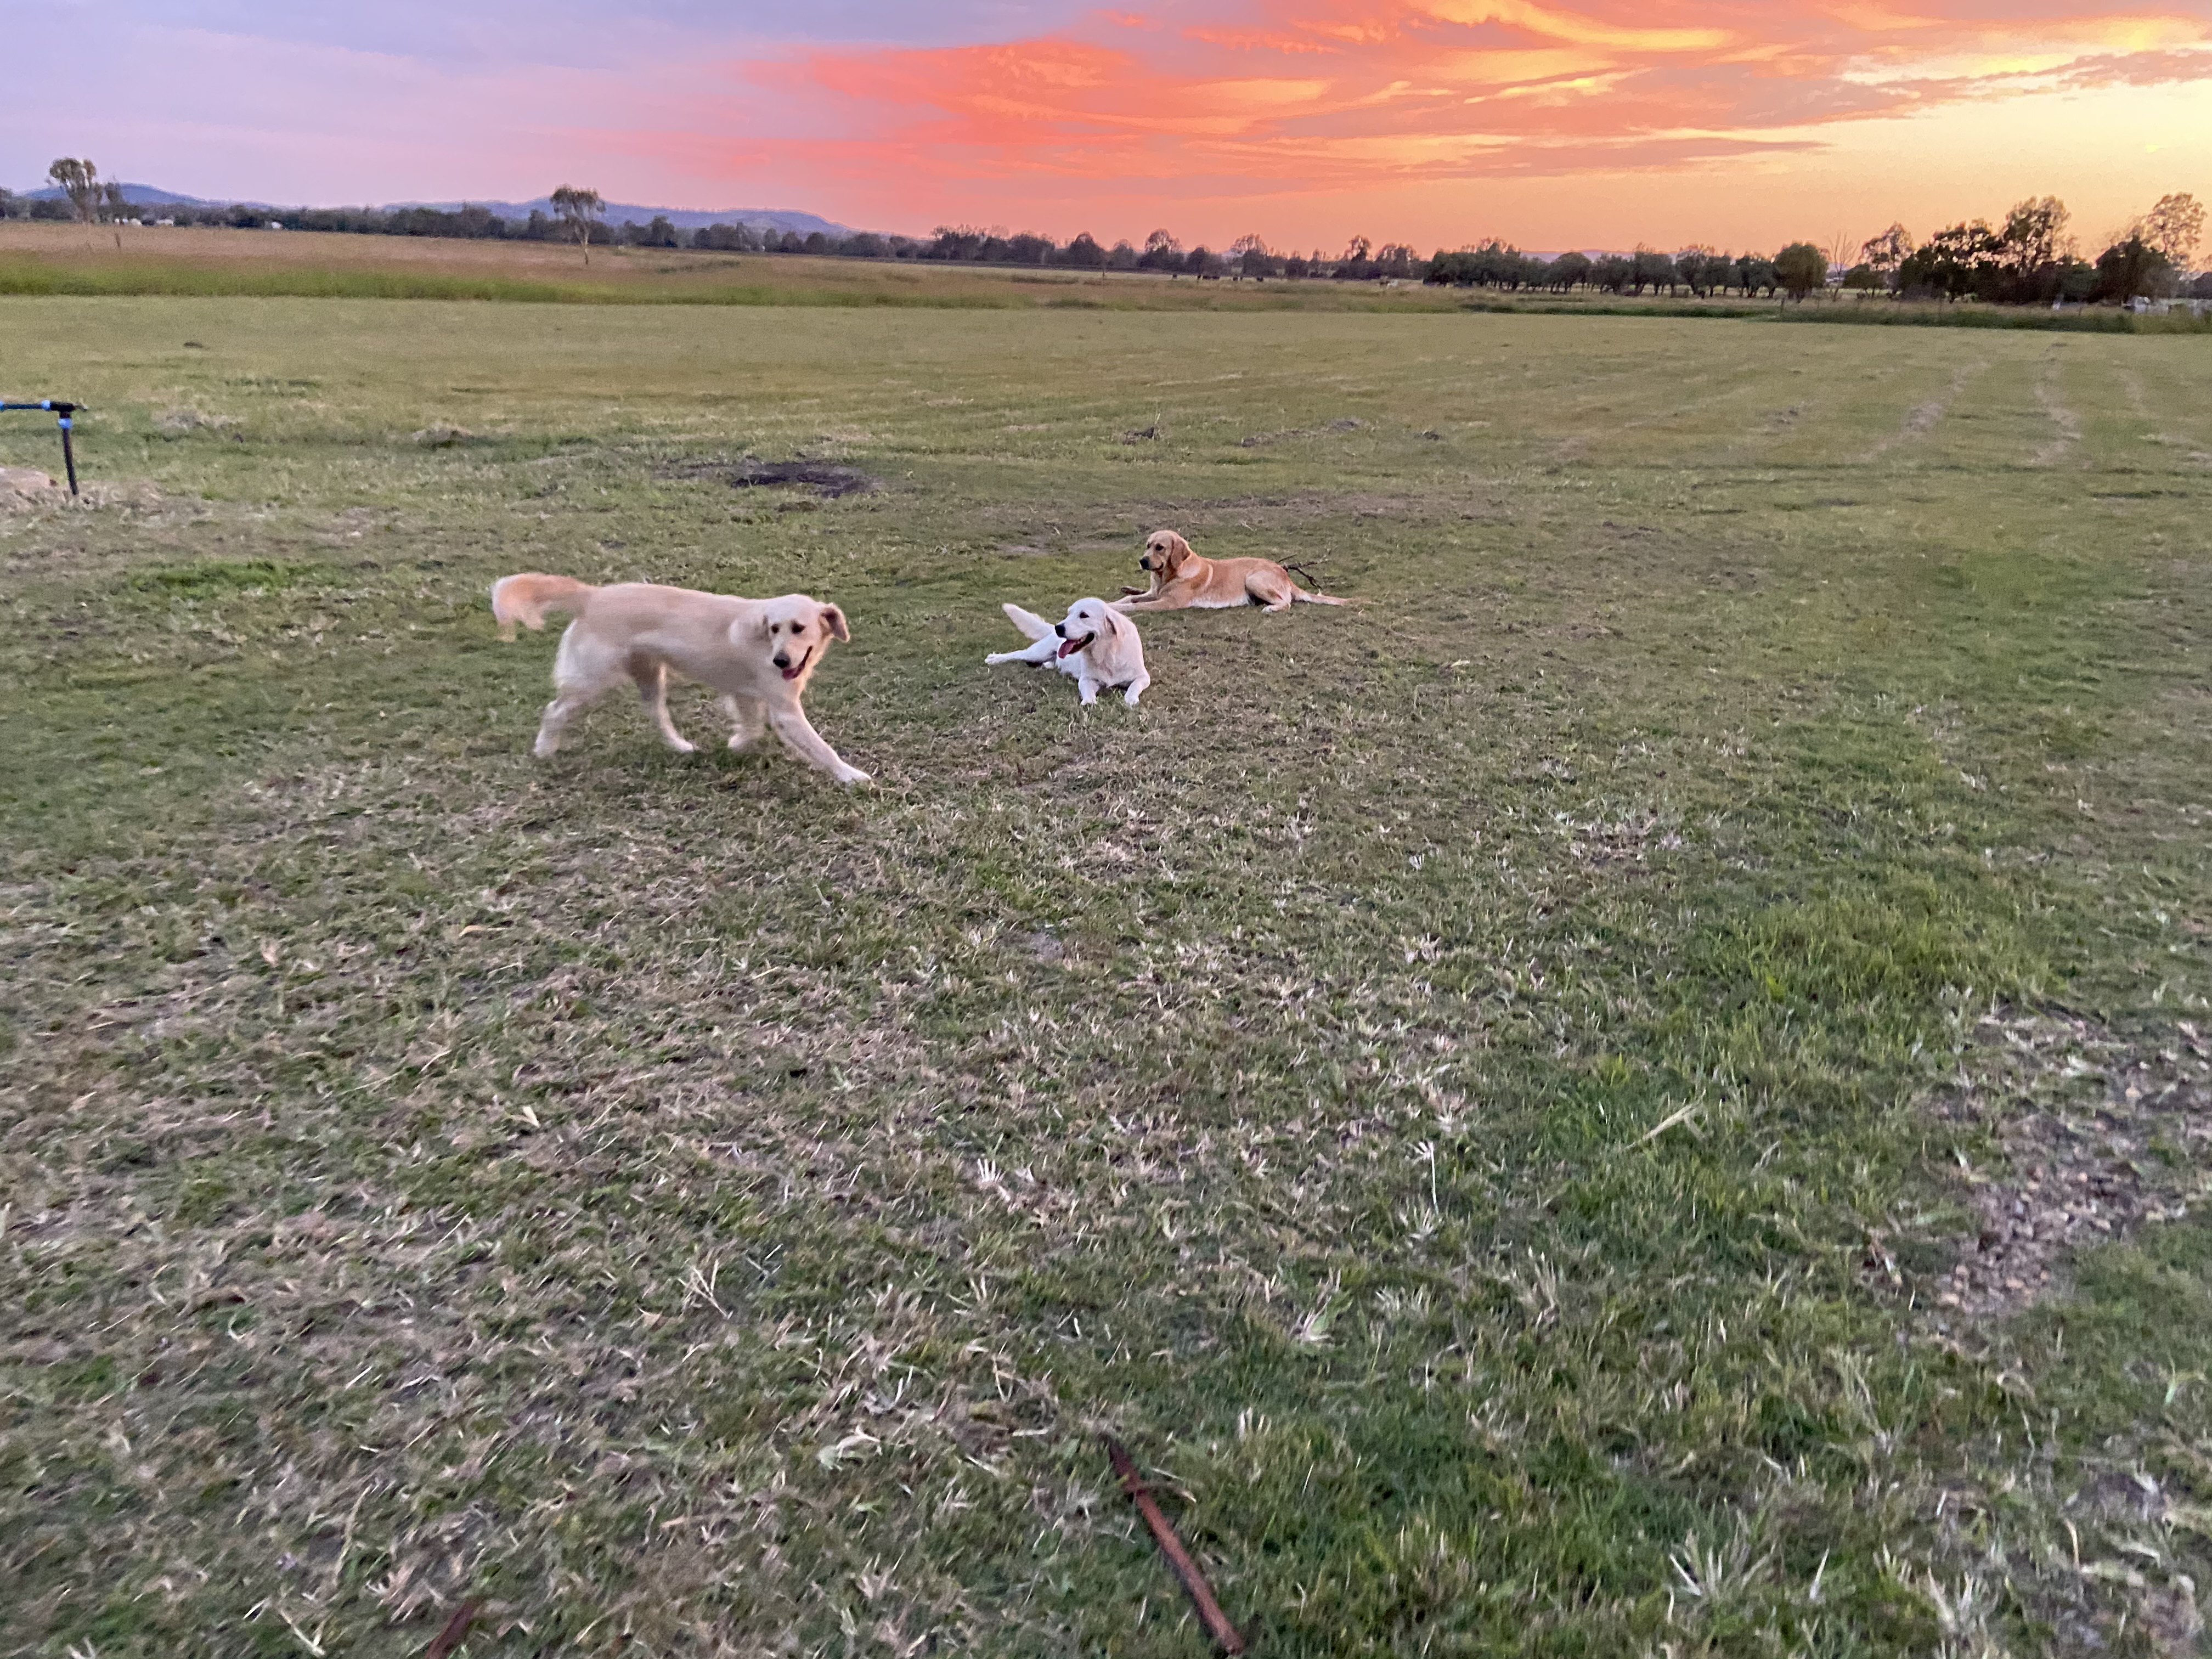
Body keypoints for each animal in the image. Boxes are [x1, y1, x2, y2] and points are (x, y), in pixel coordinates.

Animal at [491, 573, 869, 784]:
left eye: (798, 628)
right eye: (775, 628)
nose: (780, 660)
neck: (765, 642)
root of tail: (593, 595)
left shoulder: (747, 694)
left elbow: (751, 727)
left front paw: (737, 744)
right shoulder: (785, 710)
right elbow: (821, 748)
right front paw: (851, 776)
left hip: (651, 676)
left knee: (656, 715)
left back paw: (680, 747)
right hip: (591, 679)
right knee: (554, 711)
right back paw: (545, 750)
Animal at [985, 598, 1149, 706]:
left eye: (1084, 615)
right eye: (1069, 614)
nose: (1059, 628)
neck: (1106, 654)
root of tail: (1050, 630)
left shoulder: (1144, 677)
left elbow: (1135, 686)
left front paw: (1131, 699)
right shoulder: (1087, 679)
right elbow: (1088, 692)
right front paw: (1089, 702)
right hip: (1037, 652)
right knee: (1018, 654)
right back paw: (994, 658)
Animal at [1113, 530, 1347, 613]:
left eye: (1160, 547)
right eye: (1148, 545)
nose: (1143, 561)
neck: (1167, 575)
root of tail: (1284, 572)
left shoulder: (1168, 603)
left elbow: (1134, 606)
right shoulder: (1153, 593)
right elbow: (1128, 599)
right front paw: (1112, 603)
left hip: (1254, 580)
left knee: (1286, 602)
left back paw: (1270, 609)